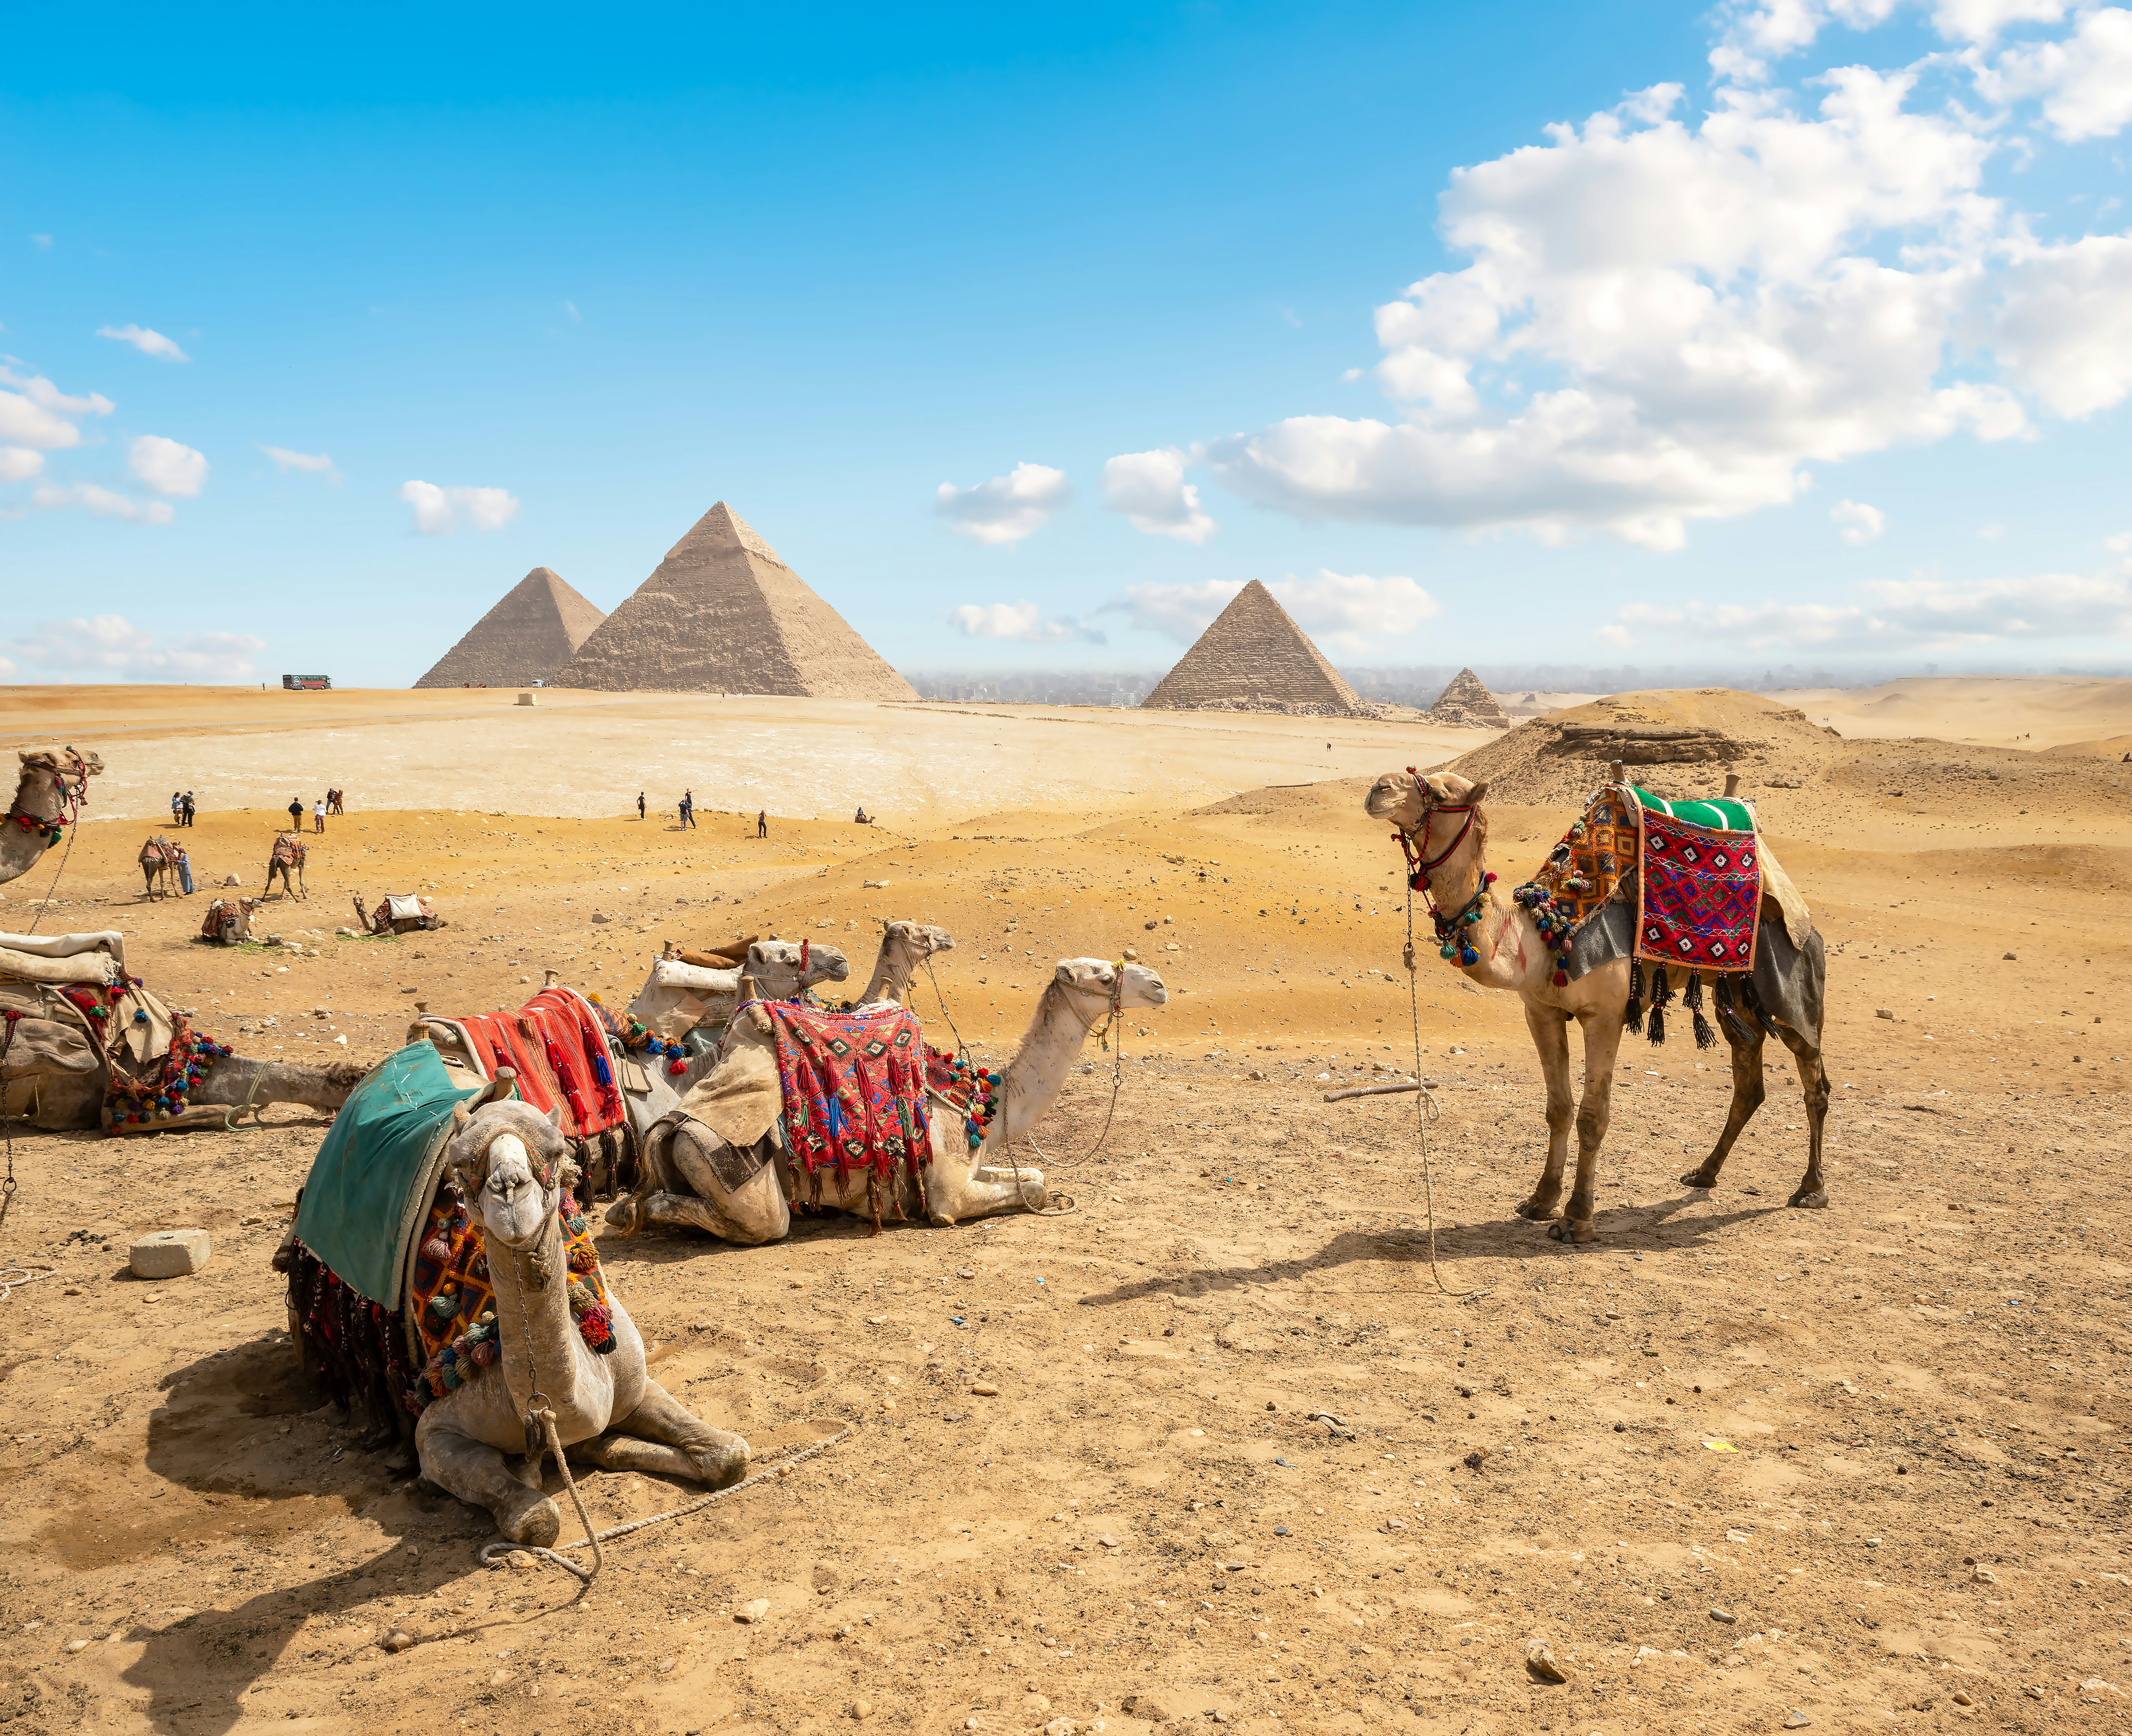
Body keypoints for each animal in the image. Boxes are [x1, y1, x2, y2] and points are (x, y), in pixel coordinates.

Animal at [412, 1096, 749, 1545]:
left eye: (558, 1151)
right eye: (461, 1163)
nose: (509, 1191)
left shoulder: (633, 1382)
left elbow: (730, 1455)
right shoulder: (434, 1431)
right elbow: (536, 1519)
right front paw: (529, 1475)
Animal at [616, 956, 1168, 1245]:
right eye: (1103, 975)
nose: (1159, 984)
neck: (989, 1105)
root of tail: (669, 1127)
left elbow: (1035, 1174)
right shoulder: (948, 1191)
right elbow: (1027, 1189)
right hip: (729, 1170)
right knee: (755, 1218)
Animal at [1363, 769, 1829, 1244]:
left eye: (1440, 793)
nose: (1379, 787)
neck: (1545, 935)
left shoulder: (1605, 1016)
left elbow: (1592, 1115)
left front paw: (1576, 1219)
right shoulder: (1540, 1011)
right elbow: (1558, 1108)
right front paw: (1540, 1201)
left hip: (1790, 977)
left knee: (1814, 1077)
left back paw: (1810, 1189)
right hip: (1734, 993)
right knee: (1748, 1079)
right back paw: (1703, 1173)